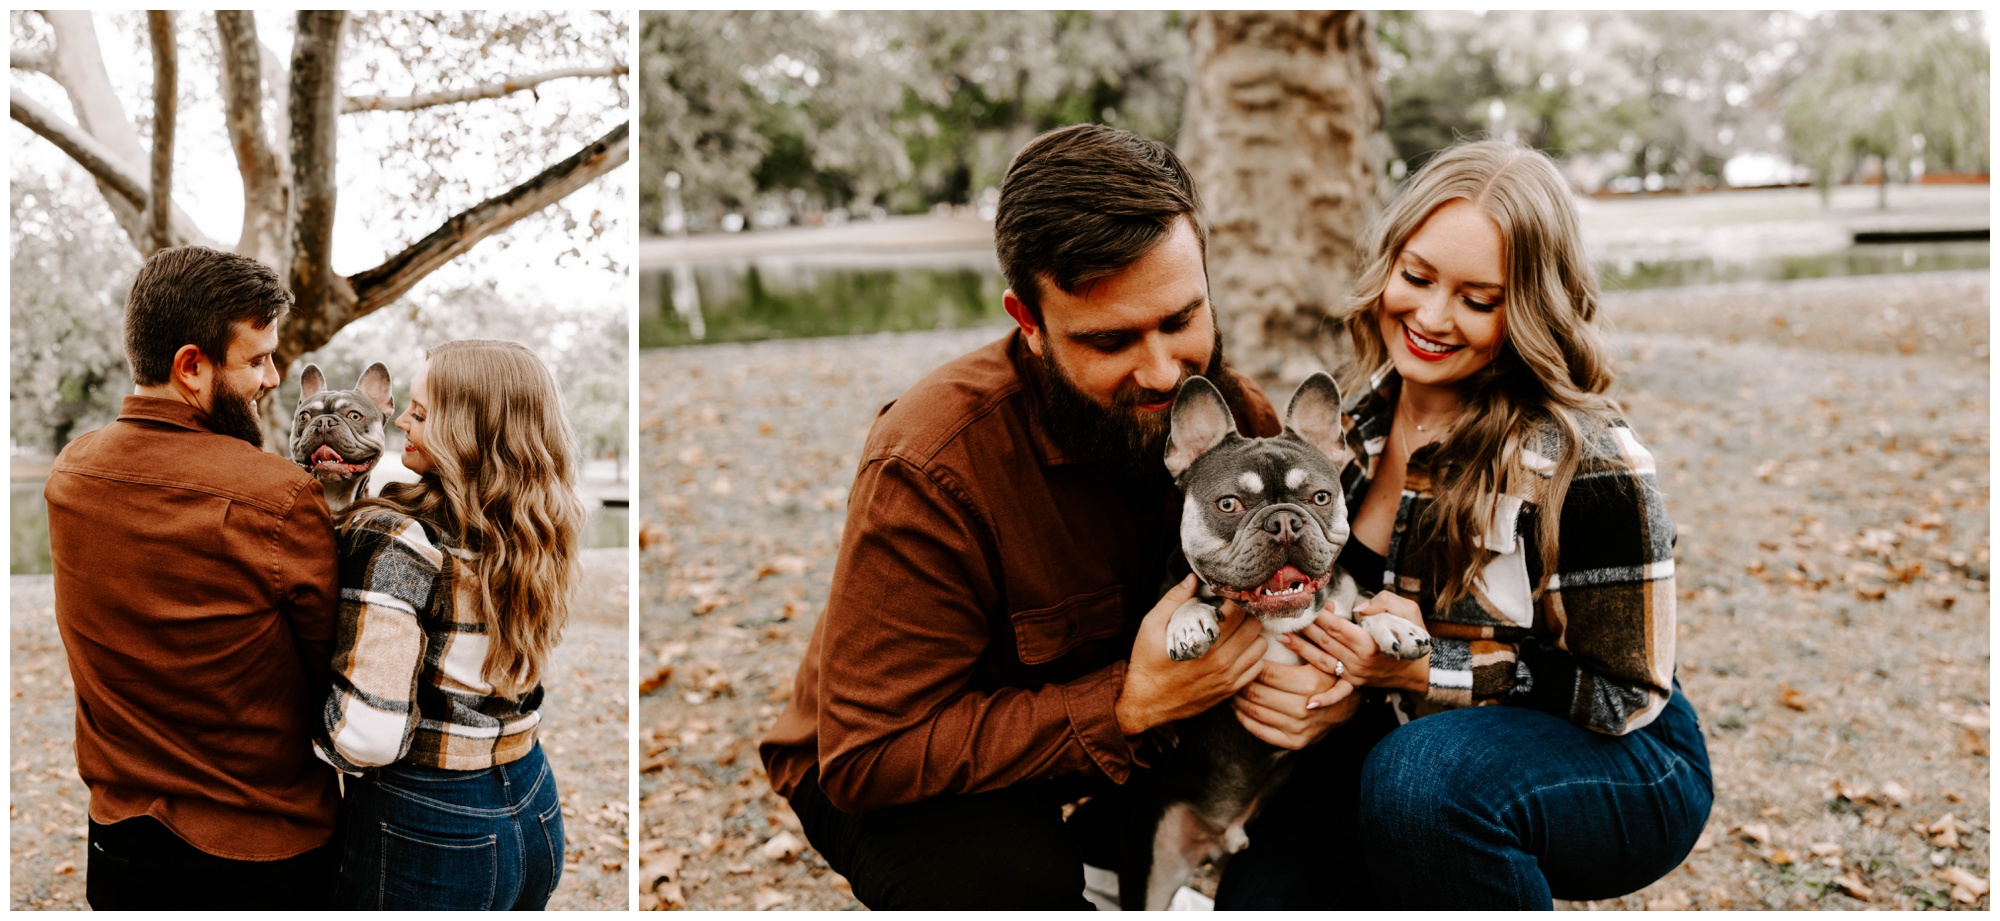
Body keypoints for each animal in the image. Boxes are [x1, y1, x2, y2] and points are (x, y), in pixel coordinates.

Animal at [1120, 370, 1432, 908]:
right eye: (1229, 504)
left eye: (1321, 497)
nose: (1284, 520)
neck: (1275, 622)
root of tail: (1224, 838)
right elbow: (1184, 596)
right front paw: (1188, 621)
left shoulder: (1345, 595)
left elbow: (1365, 601)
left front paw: (1393, 624)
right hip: (1155, 867)